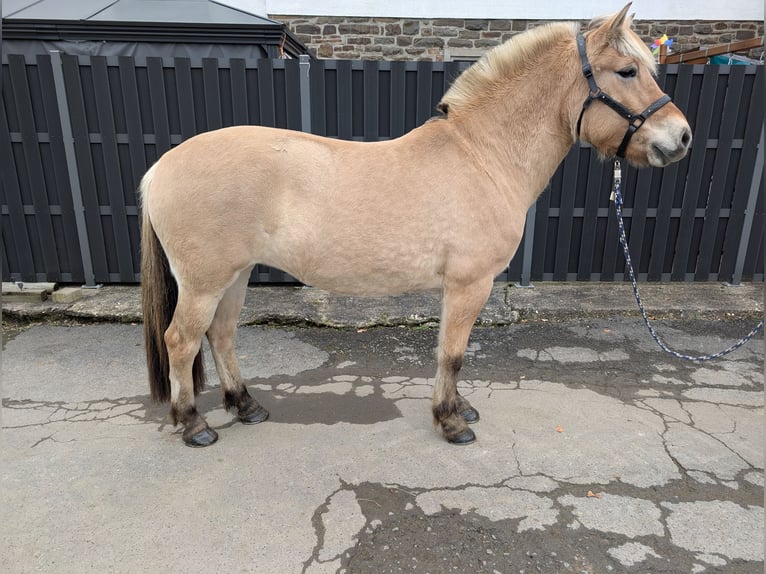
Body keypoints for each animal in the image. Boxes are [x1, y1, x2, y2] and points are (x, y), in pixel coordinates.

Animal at [141, 4, 692, 450]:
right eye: (626, 70)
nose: (682, 137)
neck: (483, 157)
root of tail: (161, 167)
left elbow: (451, 353)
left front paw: (459, 408)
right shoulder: (470, 284)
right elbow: (452, 354)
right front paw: (451, 422)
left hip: (234, 276)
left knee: (221, 336)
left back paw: (246, 405)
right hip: (205, 282)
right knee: (181, 340)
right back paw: (193, 425)